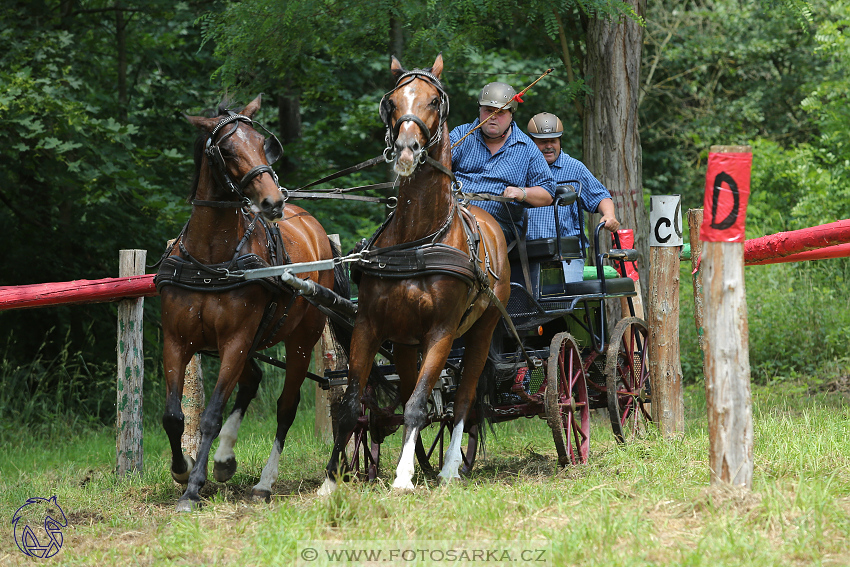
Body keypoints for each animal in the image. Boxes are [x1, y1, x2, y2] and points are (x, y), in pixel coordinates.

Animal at [157, 95, 336, 512]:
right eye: (227, 149)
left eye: (261, 142)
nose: (273, 201)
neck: (211, 259)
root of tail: (311, 223)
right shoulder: (177, 340)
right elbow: (173, 415)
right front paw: (182, 469)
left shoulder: (235, 340)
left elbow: (210, 415)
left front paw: (193, 488)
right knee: (252, 380)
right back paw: (224, 460)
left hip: (300, 340)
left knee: (286, 406)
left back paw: (264, 482)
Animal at [316, 55, 504, 494]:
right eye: (392, 101)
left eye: (435, 100)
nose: (406, 149)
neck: (417, 240)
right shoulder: (370, 325)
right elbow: (352, 405)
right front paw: (331, 480)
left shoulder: (441, 333)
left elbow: (420, 404)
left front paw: (403, 477)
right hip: (404, 343)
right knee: (410, 394)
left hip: (482, 331)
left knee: (463, 399)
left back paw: (450, 467)